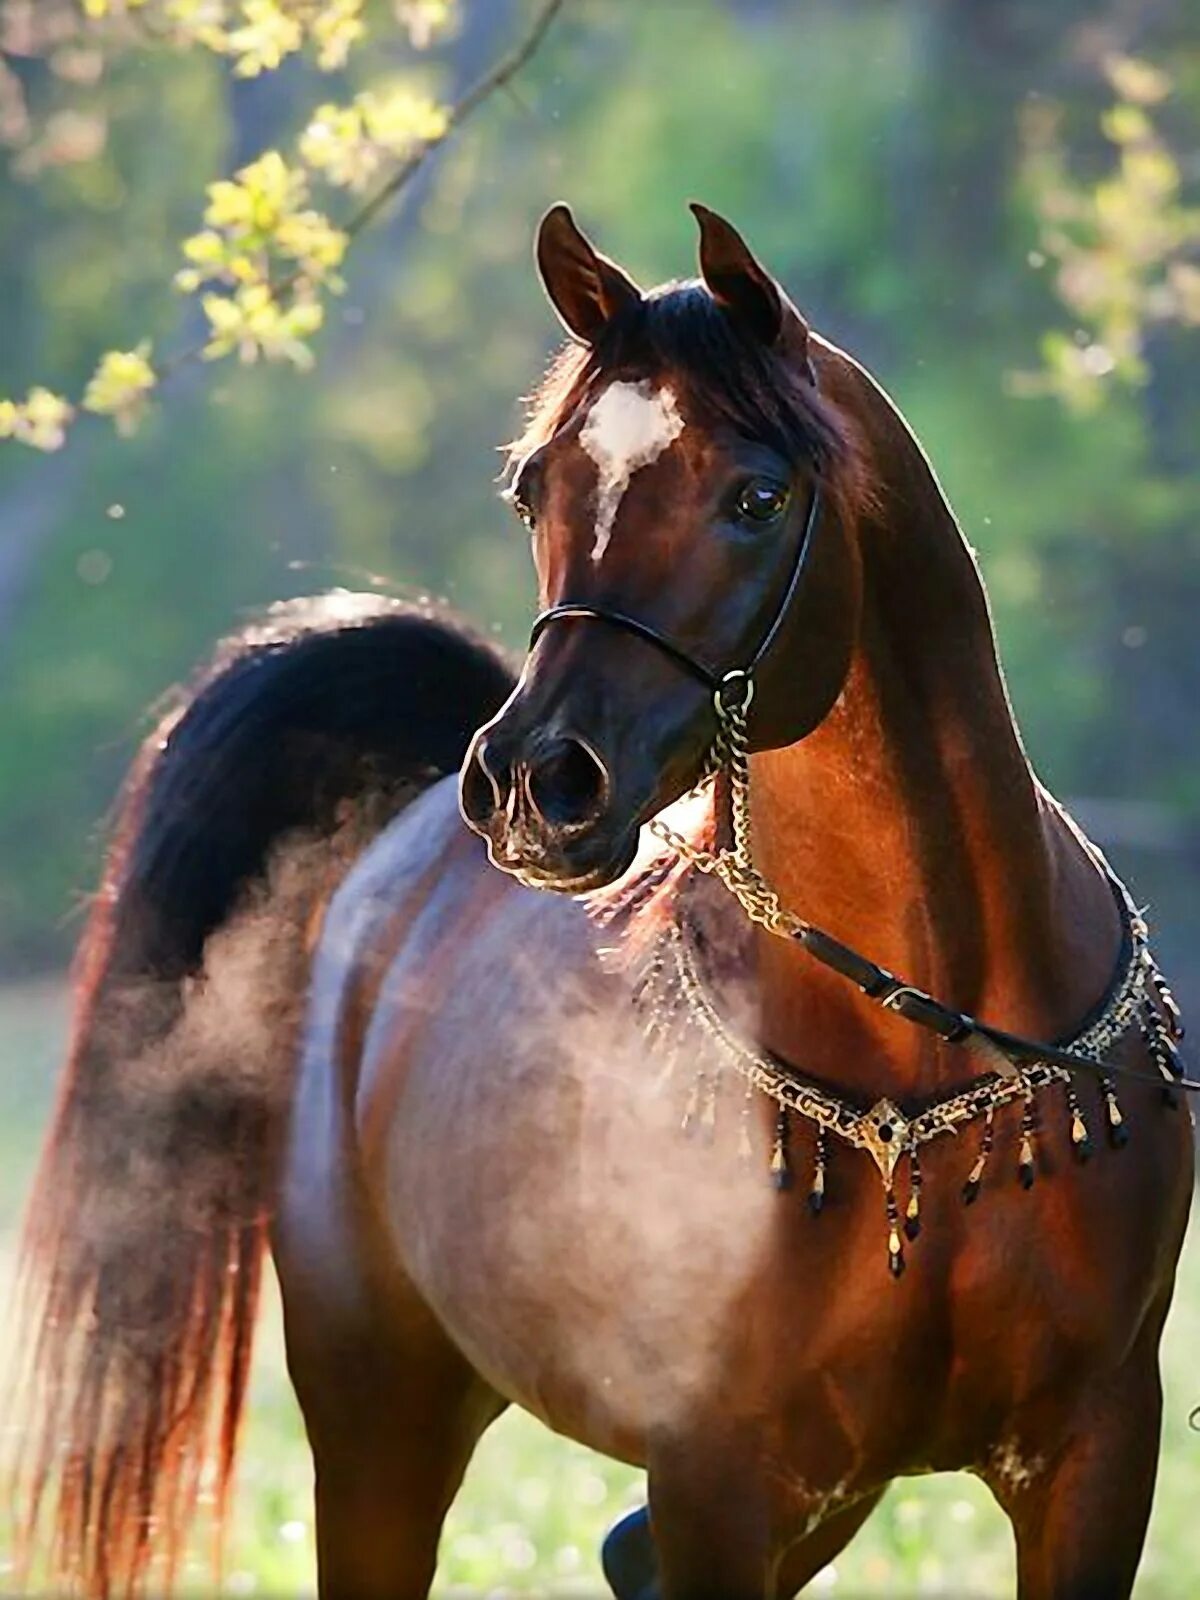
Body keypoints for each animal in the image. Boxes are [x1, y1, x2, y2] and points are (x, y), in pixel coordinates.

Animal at [14, 203, 1196, 1600]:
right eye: (535, 486)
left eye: (757, 494)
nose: (537, 784)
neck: (926, 1058)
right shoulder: (714, 1474)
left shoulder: (1091, 1455)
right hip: (380, 1420)